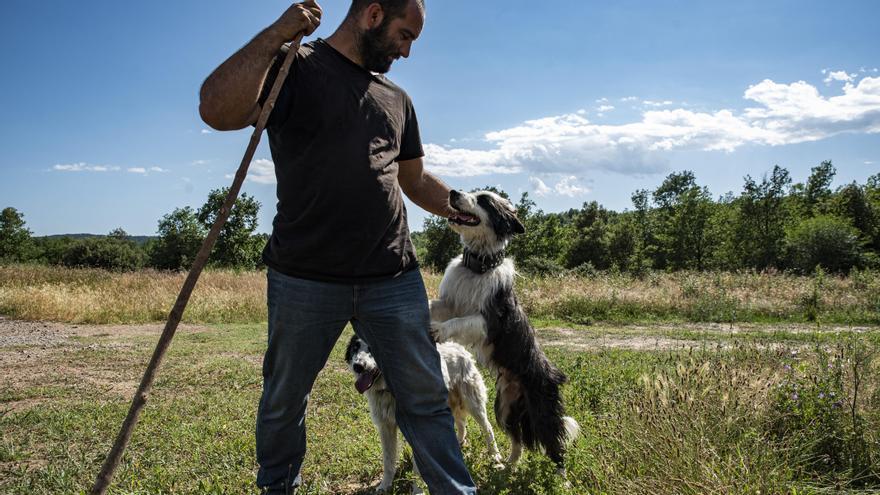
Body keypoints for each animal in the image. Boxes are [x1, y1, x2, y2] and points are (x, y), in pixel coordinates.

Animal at [348, 336, 506, 494]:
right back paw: (459, 442)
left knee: (487, 427)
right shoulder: (385, 426)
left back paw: (495, 455)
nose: (358, 366)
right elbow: (388, 460)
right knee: (461, 423)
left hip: (472, 403)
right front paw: (384, 486)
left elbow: (419, 466)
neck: (390, 389)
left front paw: (418, 490)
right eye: (355, 348)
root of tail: (457, 346)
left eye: (372, 348)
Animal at [430, 190, 580, 476]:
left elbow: (460, 321)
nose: (453, 192)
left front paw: (439, 330)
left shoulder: (490, 321)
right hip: (506, 407)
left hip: (541, 411)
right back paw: (507, 466)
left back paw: (562, 478)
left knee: (555, 443)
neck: (478, 265)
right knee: (517, 439)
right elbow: (435, 305)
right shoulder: (450, 303)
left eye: (484, 200)